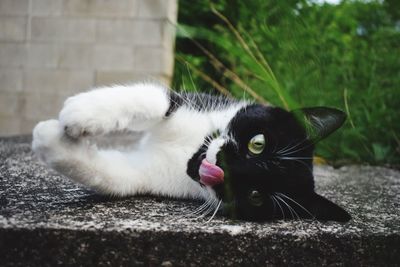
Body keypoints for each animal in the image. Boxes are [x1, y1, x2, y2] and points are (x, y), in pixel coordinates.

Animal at [32, 82, 350, 223]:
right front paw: (82, 112)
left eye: (256, 196)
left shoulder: (147, 173)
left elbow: (118, 177)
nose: (223, 167)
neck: (190, 149)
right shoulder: (196, 101)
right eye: (257, 143)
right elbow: (155, 99)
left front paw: (49, 139)